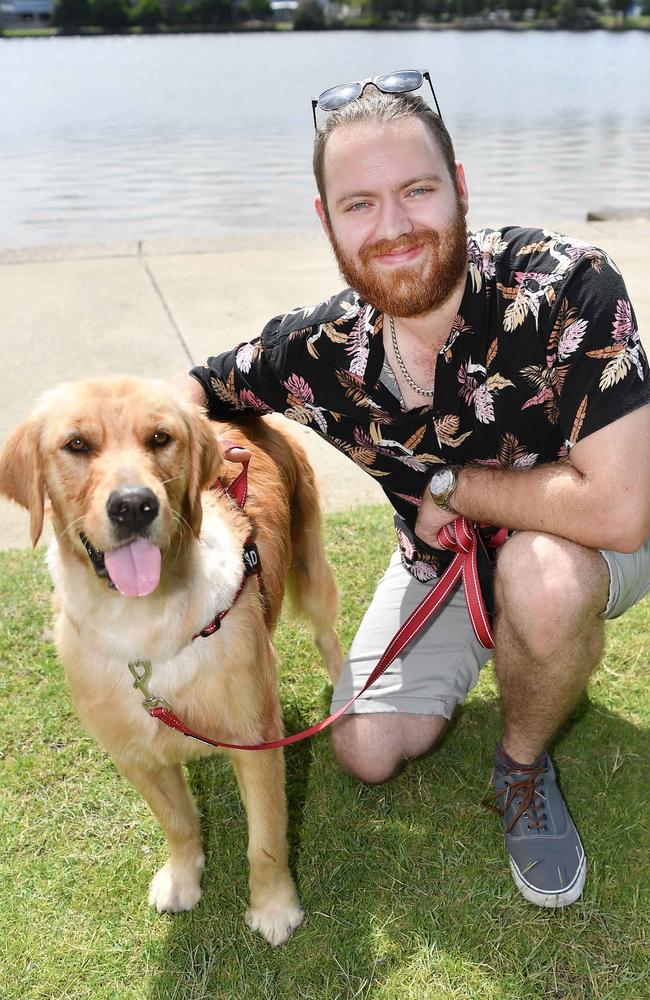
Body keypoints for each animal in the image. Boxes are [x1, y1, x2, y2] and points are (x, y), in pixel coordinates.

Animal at [0, 376, 342, 944]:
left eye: (160, 438)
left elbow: (266, 840)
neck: (146, 624)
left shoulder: (255, 735)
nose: (133, 506)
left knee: (328, 636)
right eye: (76, 444)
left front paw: (274, 907)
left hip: (313, 568)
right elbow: (178, 823)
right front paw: (183, 879)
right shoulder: (134, 752)